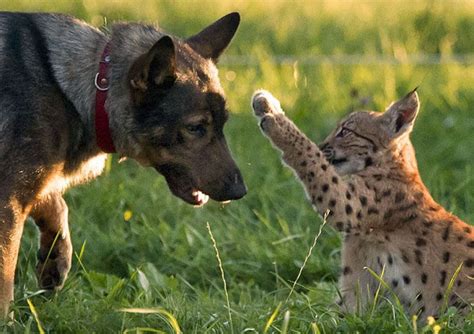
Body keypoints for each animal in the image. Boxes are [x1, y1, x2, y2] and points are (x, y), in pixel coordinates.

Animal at [0, 12, 244, 316]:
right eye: (196, 128)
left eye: (223, 125)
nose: (240, 191)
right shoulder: (9, 200)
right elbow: (5, 281)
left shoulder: (29, 185)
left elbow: (56, 205)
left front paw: (55, 260)